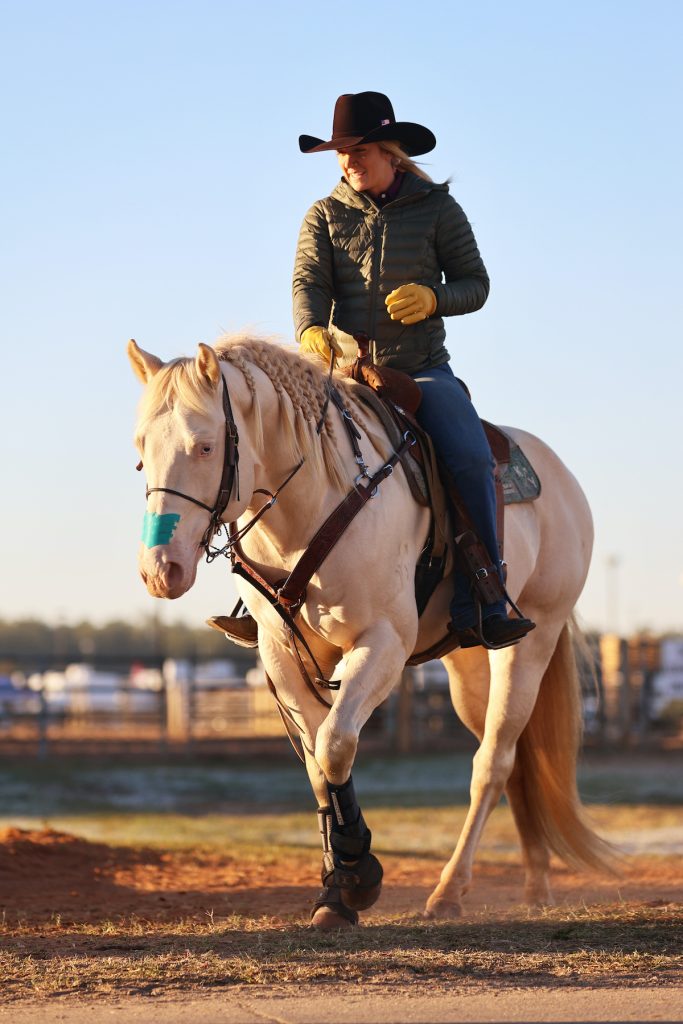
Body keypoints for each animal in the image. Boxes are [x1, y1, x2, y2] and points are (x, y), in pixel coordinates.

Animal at [128, 333, 613, 928]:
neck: (316, 502)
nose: (161, 570)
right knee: (515, 759)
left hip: (530, 644)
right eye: (141, 449)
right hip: (467, 665)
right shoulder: (283, 654)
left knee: (492, 762)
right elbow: (318, 763)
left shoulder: (382, 643)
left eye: (204, 446)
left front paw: (358, 875)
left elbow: (337, 743)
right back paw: (535, 881)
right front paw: (336, 888)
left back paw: (450, 890)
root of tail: (562, 480)